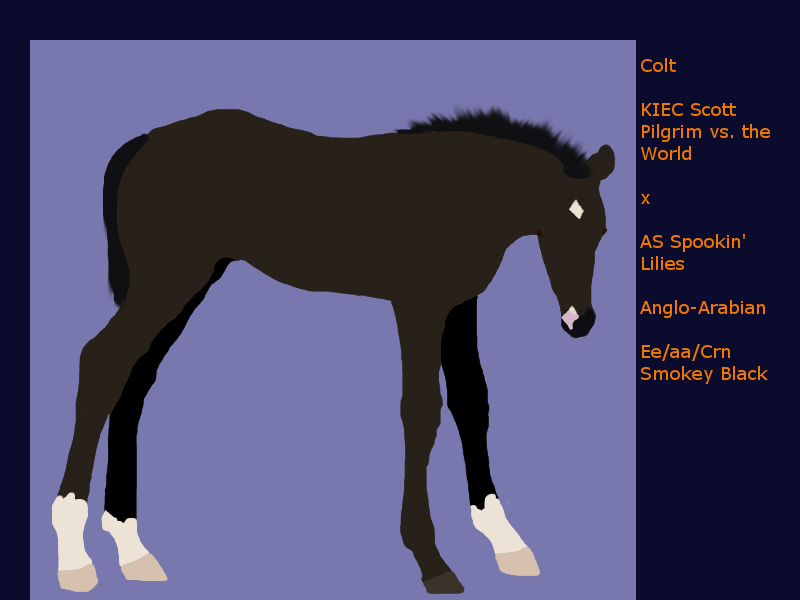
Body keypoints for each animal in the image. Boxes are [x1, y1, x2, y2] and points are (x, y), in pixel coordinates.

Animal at [51, 107, 614, 594]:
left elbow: (472, 402)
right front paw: (431, 560)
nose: (579, 321)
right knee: (101, 363)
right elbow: (422, 412)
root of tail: (145, 141)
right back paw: (74, 557)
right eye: (555, 225)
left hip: (188, 284)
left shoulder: (460, 305)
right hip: (168, 282)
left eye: (602, 230)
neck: (459, 192)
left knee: (133, 381)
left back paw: (131, 548)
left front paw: (506, 541)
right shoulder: (419, 305)